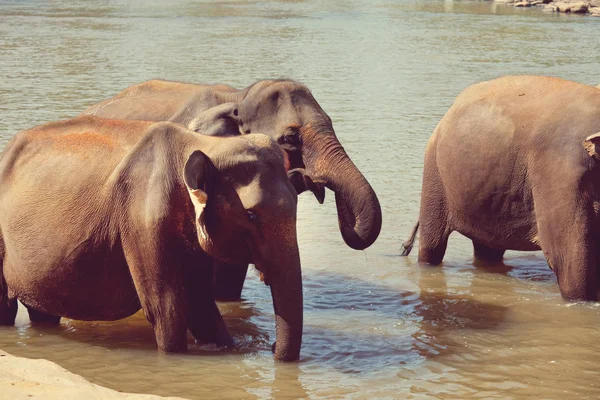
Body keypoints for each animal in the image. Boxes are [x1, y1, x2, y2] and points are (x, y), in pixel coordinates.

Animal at [0, 116, 300, 362]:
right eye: (251, 215)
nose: (271, 346)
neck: (203, 144)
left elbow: (201, 305)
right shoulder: (142, 220)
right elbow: (166, 307)